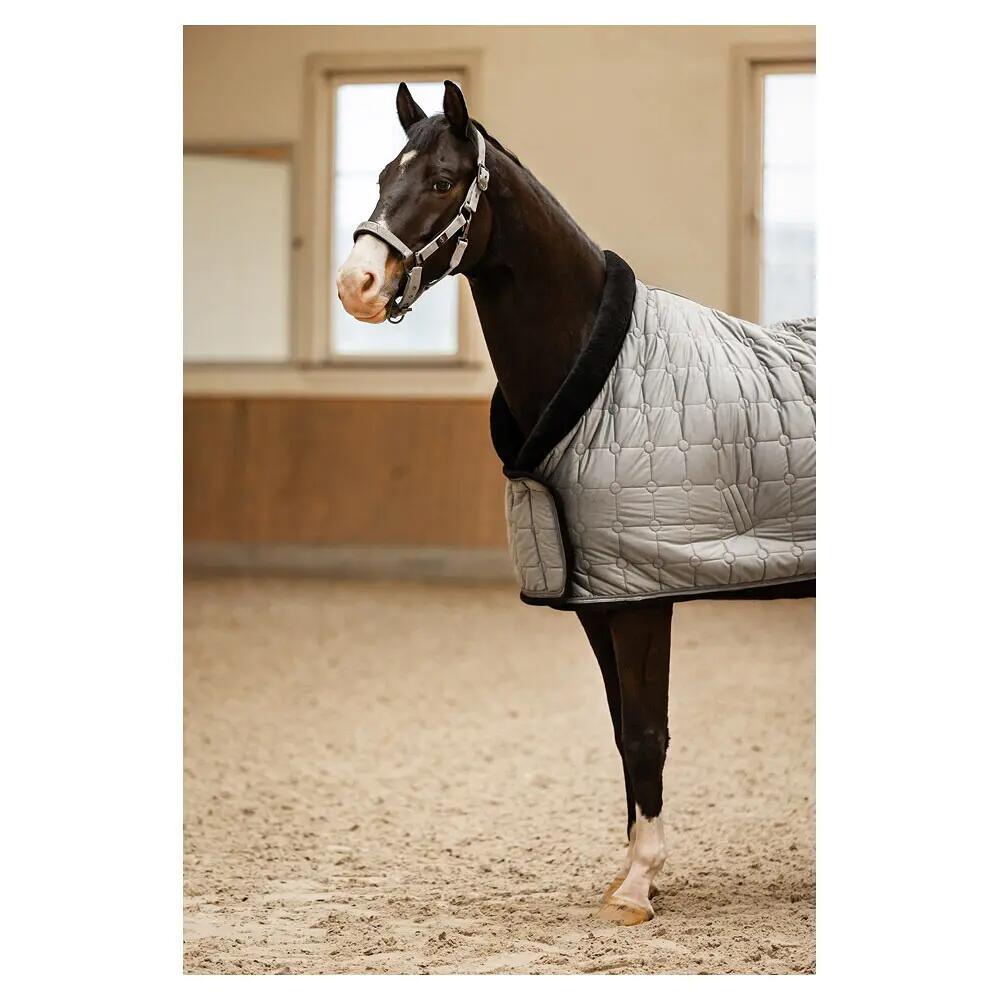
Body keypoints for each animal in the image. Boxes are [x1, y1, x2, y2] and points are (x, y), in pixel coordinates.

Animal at [336, 80, 815, 926]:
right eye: (382, 177)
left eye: (442, 181)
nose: (356, 285)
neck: (609, 375)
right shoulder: (598, 597)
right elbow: (624, 731)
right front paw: (635, 870)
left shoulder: (644, 595)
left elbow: (648, 732)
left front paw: (639, 885)